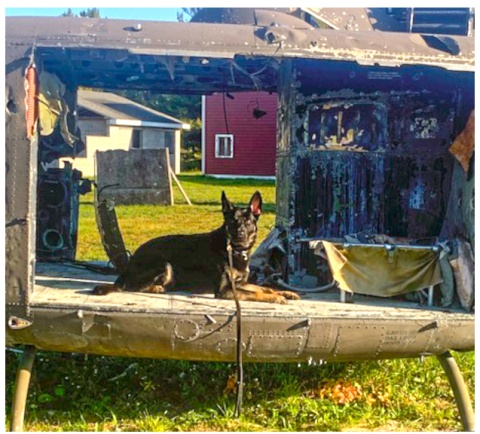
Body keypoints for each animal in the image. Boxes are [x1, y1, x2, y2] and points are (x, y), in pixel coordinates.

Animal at [93, 192, 300, 304]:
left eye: (248, 222)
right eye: (232, 222)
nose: (239, 235)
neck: (235, 252)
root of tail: (128, 266)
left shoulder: (239, 283)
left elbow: (264, 288)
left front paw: (285, 293)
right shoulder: (225, 290)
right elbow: (257, 293)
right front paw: (277, 299)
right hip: (164, 265)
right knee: (128, 287)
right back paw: (156, 288)